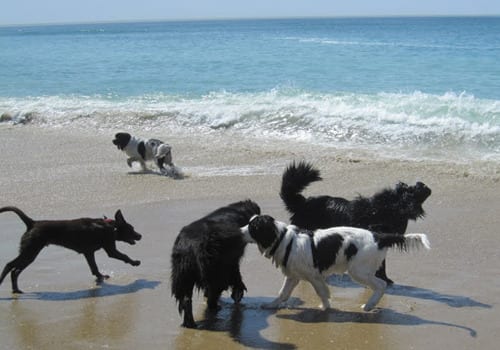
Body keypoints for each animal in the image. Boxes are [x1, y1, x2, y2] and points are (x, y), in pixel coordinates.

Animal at [0, 205, 142, 292]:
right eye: (131, 229)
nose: (140, 235)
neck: (110, 227)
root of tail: (32, 223)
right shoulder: (110, 249)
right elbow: (124, 256)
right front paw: (135, 262)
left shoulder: (88, 253)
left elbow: (94, 267)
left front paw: (100, 276)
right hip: (30, 251)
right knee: (10, 266)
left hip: (30, 252)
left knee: (15, 271)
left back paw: (16, 290)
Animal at [170, 200, 260, 328]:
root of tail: (193, 245)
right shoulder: (232, 261)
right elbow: (236, 276)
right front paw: (238, 291)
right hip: (214, 273)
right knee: (214, 292)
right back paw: (215, 307)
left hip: (183, 275)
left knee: (186, 299)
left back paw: (190, 323)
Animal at [241, 216, 430, 312]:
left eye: (252, 227)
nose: (238, 231)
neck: (285, 240)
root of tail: (379, 236)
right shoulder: (293, 276)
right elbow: (283, 293)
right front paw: (271, 305)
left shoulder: (314, 276)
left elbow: (322, 292)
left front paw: (325, 308)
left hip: (358, 271)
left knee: (381, 285)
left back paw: (369, 305)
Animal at [280, 161, 432, 284]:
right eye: (411, 189)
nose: (421, 183)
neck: (390, 208)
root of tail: (302, 203)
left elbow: (382, 264)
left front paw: (385, 279)